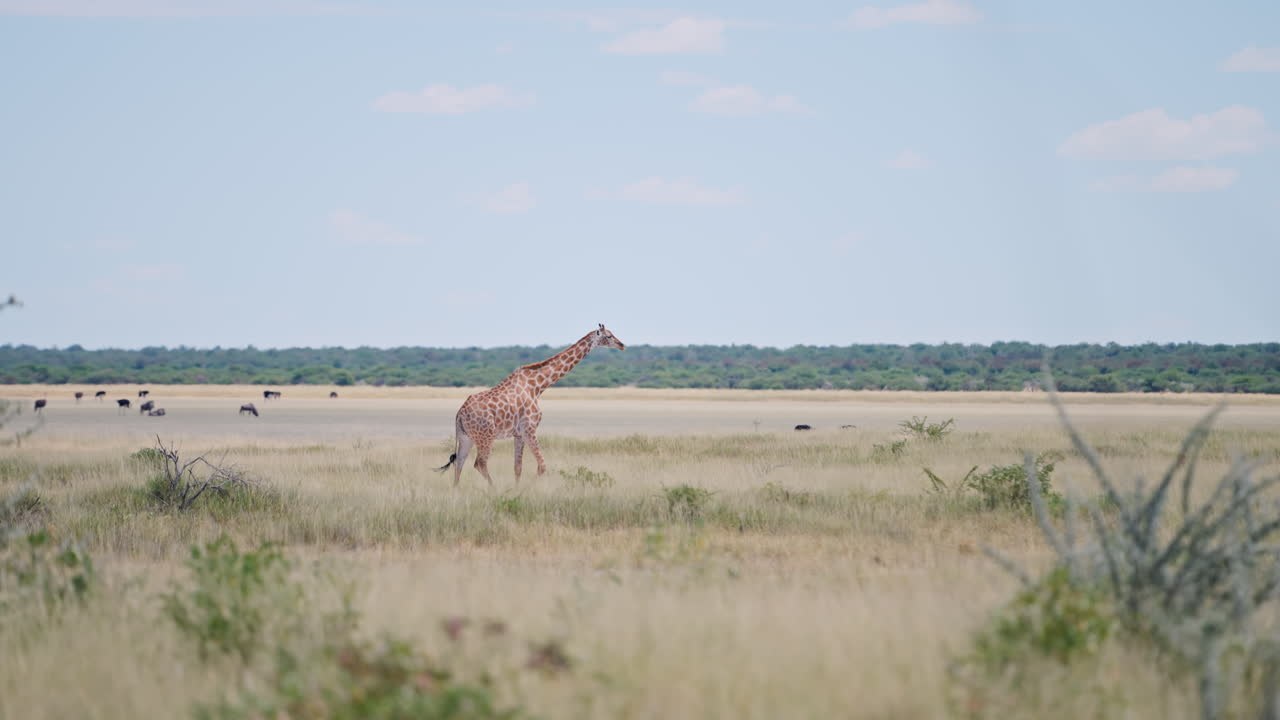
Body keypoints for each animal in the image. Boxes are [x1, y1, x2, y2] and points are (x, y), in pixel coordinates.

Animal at [436, 324, 626, 487]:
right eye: (609, 336)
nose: (622, 345)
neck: (537, 386)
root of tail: (460, 414)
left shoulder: (519, 434)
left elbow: (518, 467)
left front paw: (517, 489)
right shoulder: (530, 429)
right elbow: (542, 466)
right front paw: (526, 489)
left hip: (466, 437)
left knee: (459, 463)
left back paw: (456, 491)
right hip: (486, 436)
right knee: (479, 463)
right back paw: (493, 489)